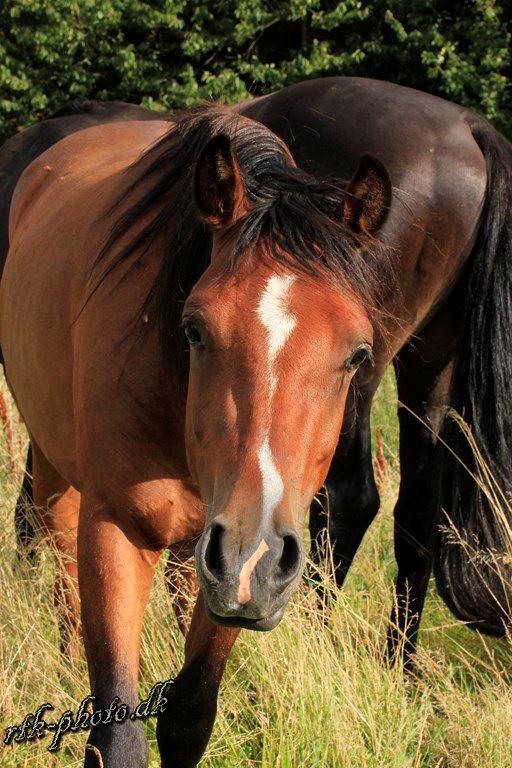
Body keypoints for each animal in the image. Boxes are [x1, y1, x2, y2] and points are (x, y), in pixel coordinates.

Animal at [0, 77, 511, 768]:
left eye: (355, 352)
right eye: (194, 328)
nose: (254, 561)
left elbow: (188, 719)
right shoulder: (119, 529)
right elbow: (119, 734)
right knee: (58, 554)